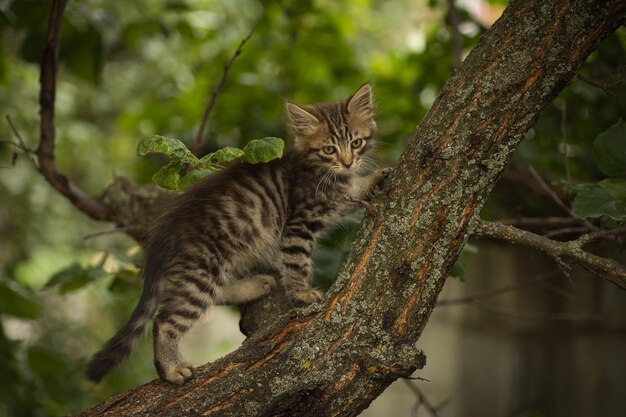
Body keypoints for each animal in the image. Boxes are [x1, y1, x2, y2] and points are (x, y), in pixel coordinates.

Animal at [83, 83, 386, 386]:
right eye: (329, 149)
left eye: (356, 143)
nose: (348, 163)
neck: (318, 168)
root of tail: (163, 232)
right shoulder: (298, 222)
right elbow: (296, 261)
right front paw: (301, 292)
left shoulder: (336, 201)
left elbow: (352, 194)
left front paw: (376, 176)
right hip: (203, 266)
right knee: (166, 320)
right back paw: (170, 369)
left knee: (215, 294)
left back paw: (255, 285)